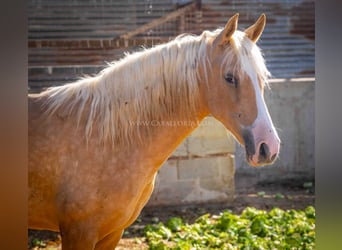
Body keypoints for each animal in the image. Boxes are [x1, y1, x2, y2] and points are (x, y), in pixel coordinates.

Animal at [28, 14, 280, 250]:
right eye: (230, 77)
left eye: (262, 78)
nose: (268, 147)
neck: (102, 137)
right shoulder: (79, 232)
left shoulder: (112, 233)